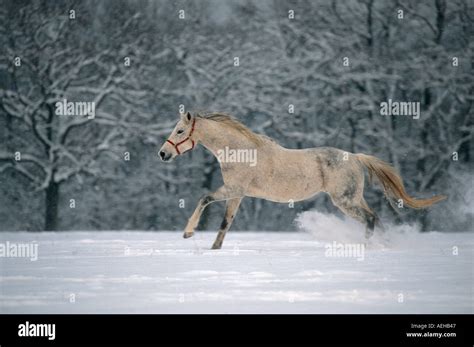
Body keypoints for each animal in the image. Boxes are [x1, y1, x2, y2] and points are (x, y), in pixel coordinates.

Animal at [159, 112, 444, 250]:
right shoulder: (237, 194)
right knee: (376, 218)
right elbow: (225, 224)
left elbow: (204, 198)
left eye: (180, 131)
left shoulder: (233, 189)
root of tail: (355, 157)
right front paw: (214, 249)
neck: (240, 151)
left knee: (370, 219)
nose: (163, 154)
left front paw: (188, 232)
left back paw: (366, 247)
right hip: (354, 198)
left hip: (345, 201)